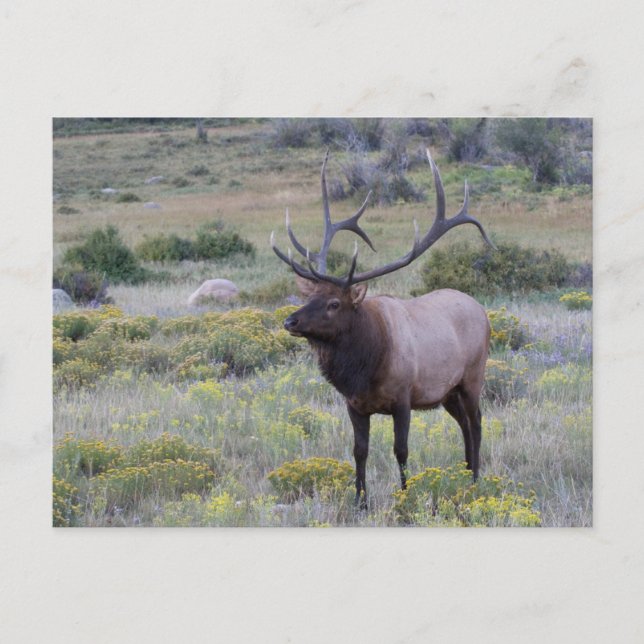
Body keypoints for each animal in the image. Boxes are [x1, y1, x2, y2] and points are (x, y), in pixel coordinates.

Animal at [271, 150, 494, 508]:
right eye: (310, 296)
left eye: (334, 303)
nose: (290, 321)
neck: (366, 367)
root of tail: (482, 312)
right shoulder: (354, 405)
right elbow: (359, 451)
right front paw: (360, 501)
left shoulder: (403, 398)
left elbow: (400, 450)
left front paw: (404, 496)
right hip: (447, 391)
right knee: (463, 423)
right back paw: (465, 473)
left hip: (473, 375)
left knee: (476, 422)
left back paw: (474, 479)